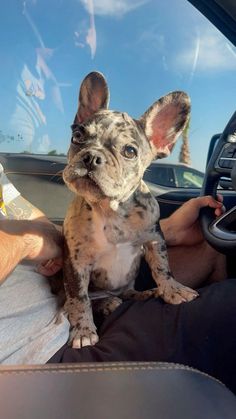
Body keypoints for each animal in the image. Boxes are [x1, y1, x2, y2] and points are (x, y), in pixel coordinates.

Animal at [62, 71, 197, 348]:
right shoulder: (76, 262)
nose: (91, 157)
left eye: (129, 151)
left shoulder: (155, 240)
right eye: (77, 136)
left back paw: (145, 293)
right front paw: (83, 330)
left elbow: (162, 268)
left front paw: (172, 289)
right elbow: (79, 297)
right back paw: (106, 303)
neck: (110, 209)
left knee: (128, 292)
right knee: (89, 299)